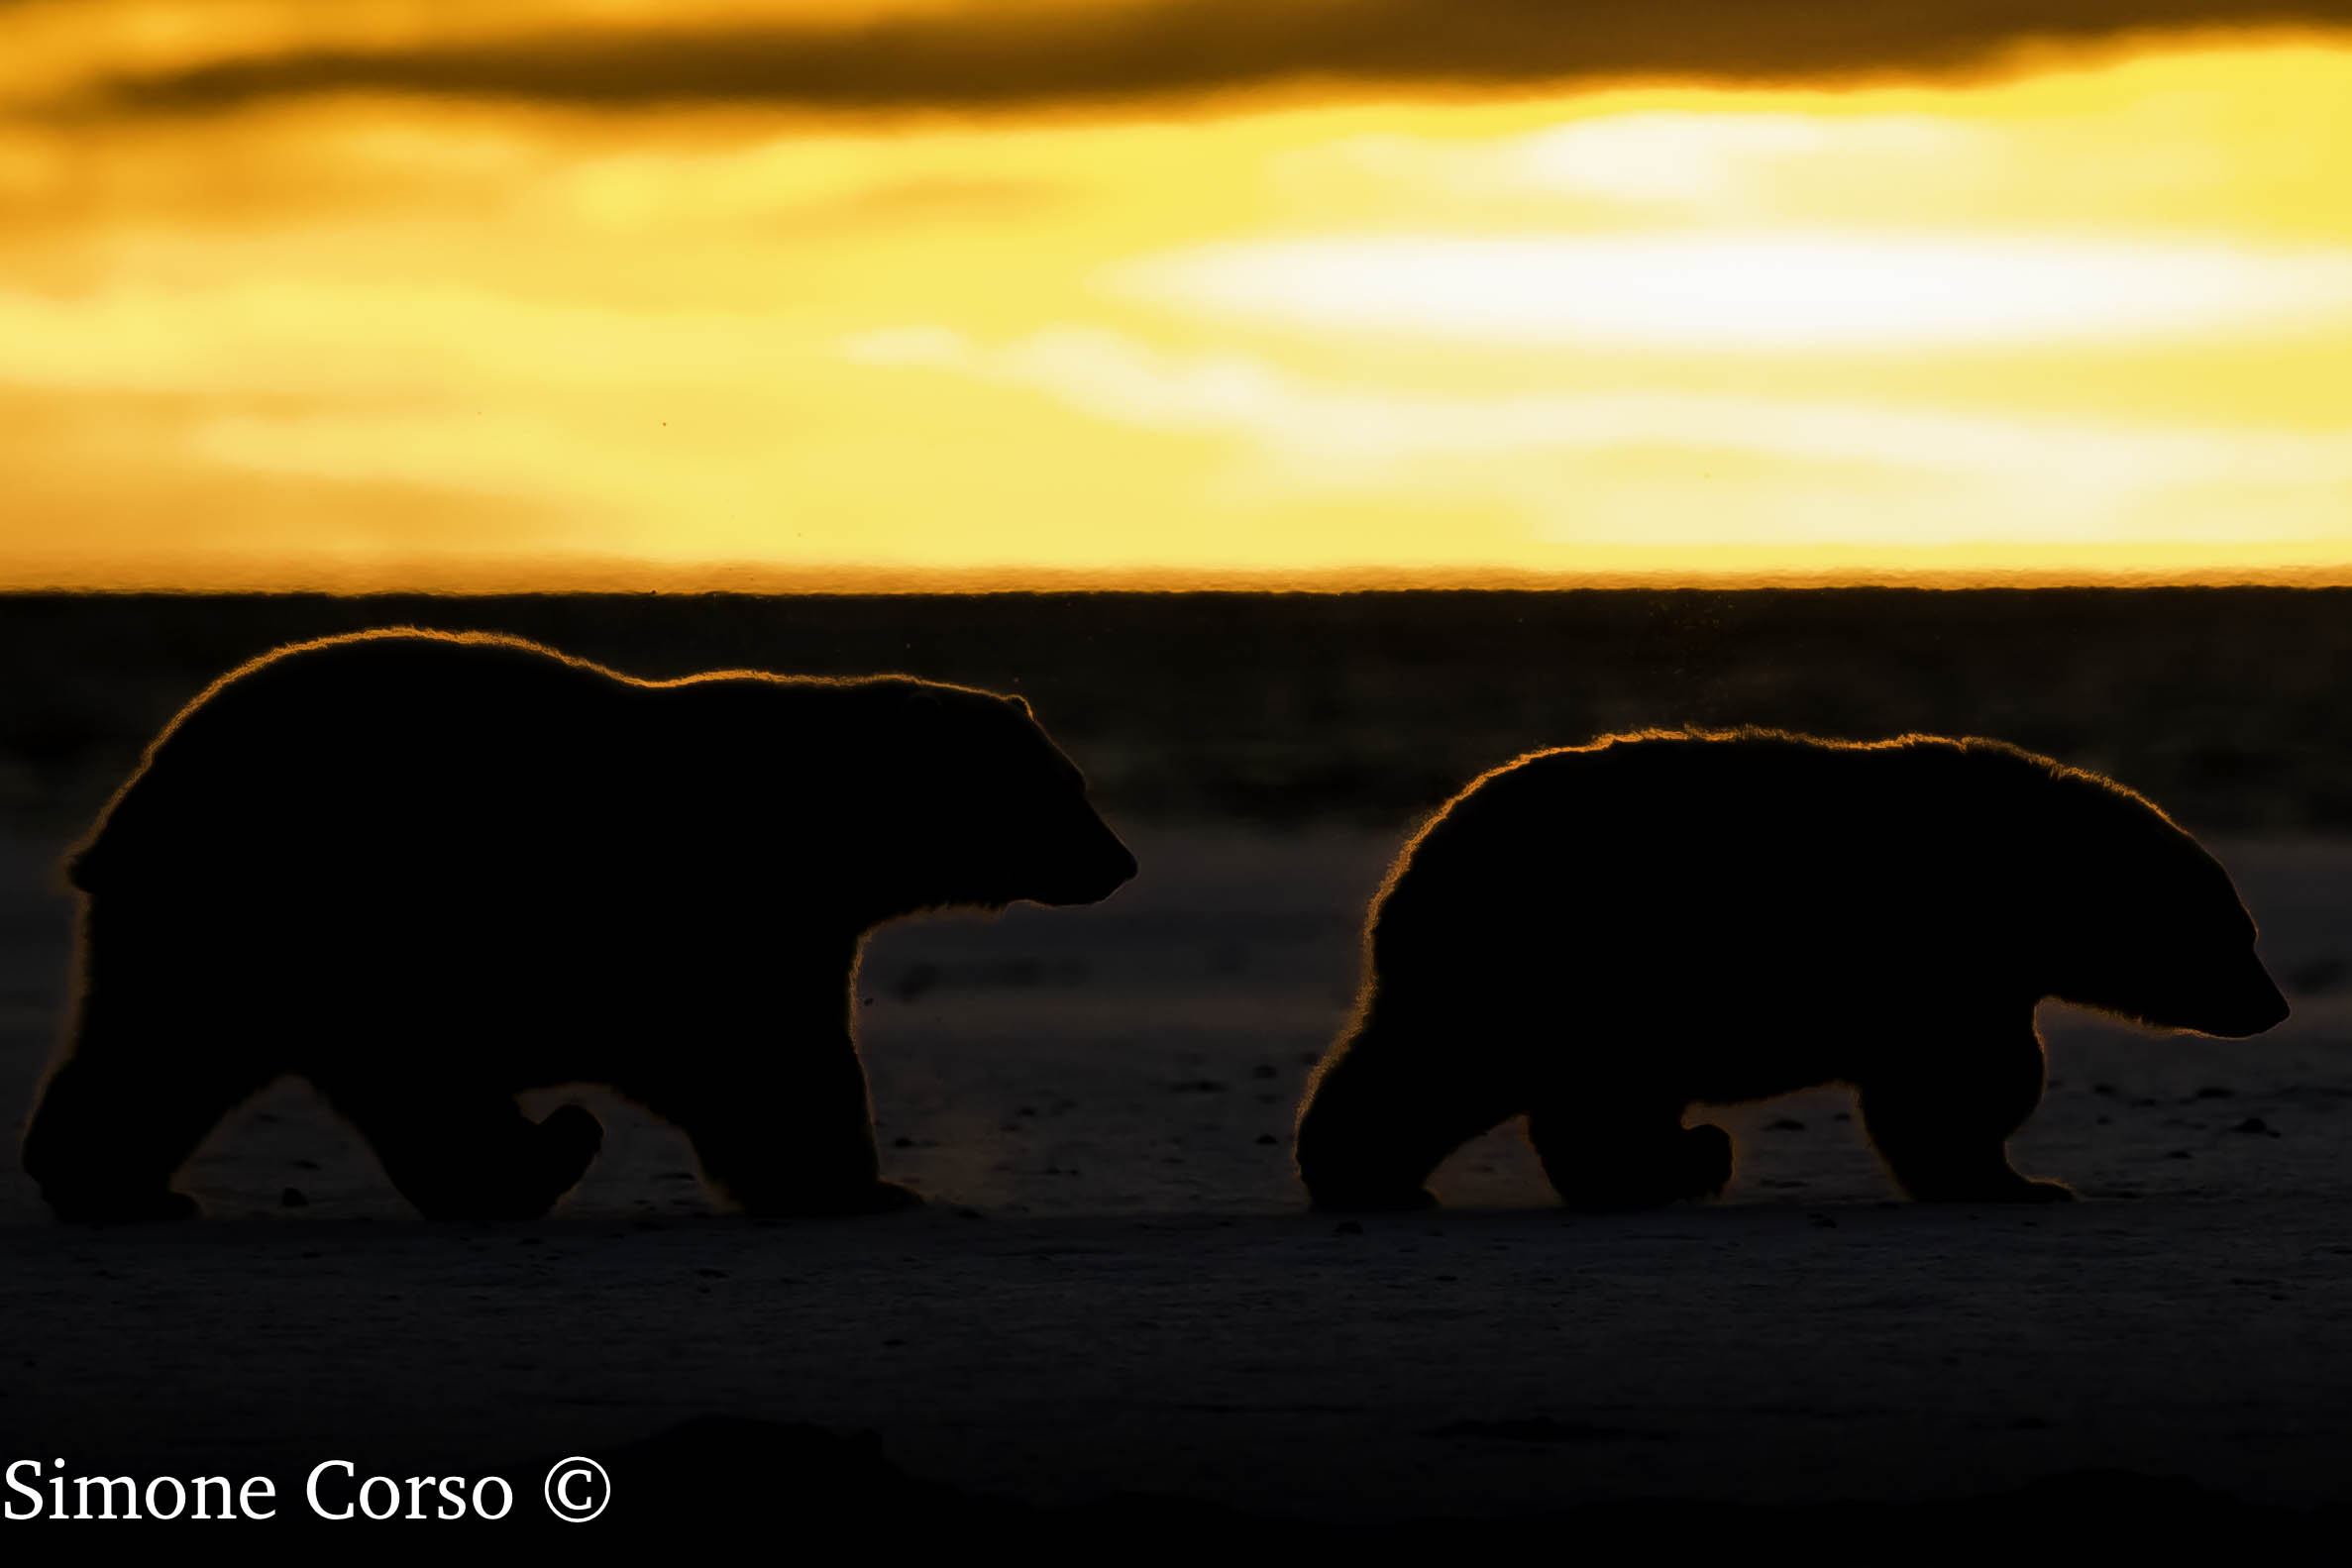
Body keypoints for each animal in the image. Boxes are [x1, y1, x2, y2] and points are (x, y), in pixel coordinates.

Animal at [23, 629, 1136, 1224]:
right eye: (1066, 787)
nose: (1120, 860)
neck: (823, 821)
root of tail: (132, 799)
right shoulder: (735, 906)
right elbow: (773, 1058)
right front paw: (856, 1185)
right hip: (300, 901)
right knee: (331, 1061)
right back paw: (542, 1153)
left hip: (242, 927)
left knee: (168, 1051)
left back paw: (121, 1186)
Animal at [1294, 729, 2288, 1212]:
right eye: (2238, 934)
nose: (2273, 1004)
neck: (2031, 879)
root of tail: (1414, 861)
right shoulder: (1941, 953)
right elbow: (1958, 1082)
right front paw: (2018, 1179)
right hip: (1562, 959)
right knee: (1466, 1071)